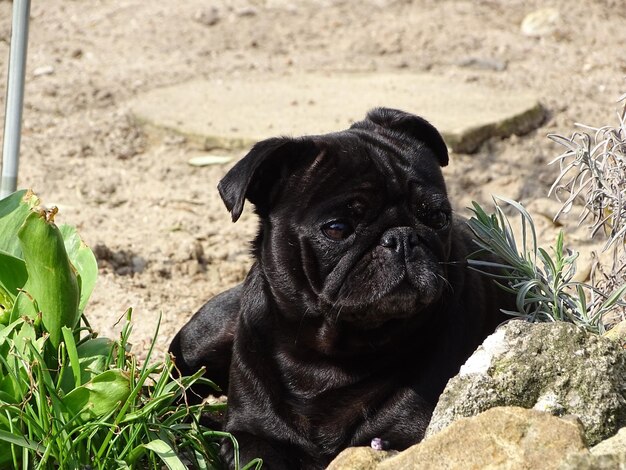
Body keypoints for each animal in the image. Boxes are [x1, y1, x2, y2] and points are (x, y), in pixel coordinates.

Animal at [171, 108, 512, 468]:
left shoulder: (407, 437)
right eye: (337, 228)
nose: (402, 237)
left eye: (437, 217)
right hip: (203, 338)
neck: (330, 354)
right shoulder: (252, 436)